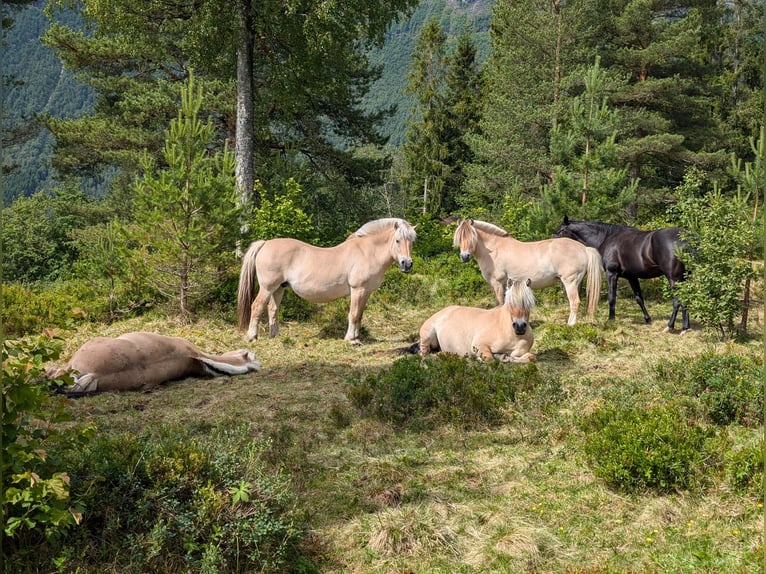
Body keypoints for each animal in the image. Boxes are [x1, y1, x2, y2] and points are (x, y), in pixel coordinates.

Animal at [240, 218, 420, 344]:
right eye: (397, 240)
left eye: (412, 241)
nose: (407, 264)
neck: (367, 252)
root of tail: (265, 244)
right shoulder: (358, 290)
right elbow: (353, 314)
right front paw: (351, 340)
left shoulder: (366, 292)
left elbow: (360, 315)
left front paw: (356, 337)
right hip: (267, 288)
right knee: (257, 307)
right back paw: (252, 337)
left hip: (279, 288)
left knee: (272, 309)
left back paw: (275, 335)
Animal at [452, 218, 604, 326]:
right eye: (459, 238)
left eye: (472, 237)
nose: (464, 257)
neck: (494, 250)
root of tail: (584, 248)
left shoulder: (497, 282)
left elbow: (500, 302)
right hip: (577, 282)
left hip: (570, 282)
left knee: (575, 302)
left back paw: (570, 325)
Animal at [556, 216, 692, 332]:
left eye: (559, 231)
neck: (606, 237)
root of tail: (684, 239)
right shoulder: (632, 277)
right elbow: (639, 298)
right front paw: (648, 319)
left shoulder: (612, 274)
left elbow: (612, 298)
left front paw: (611, 320)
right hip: (684, 278)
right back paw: (685, 328)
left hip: (674, 278)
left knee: (677, 301)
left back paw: (669, 326)